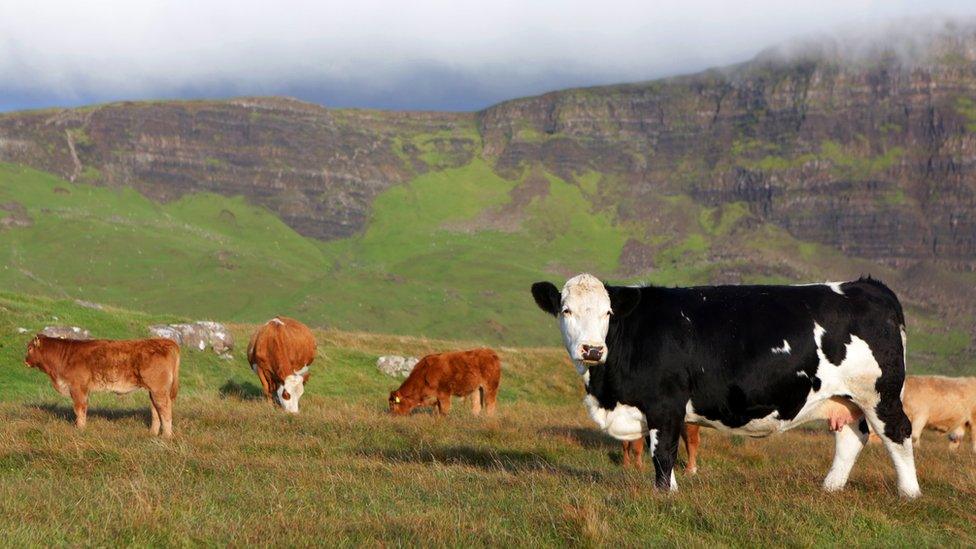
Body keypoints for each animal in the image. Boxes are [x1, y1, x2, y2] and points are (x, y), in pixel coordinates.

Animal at [24, 334, 180, 436]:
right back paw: (153, 433)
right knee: (155, 409)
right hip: (154, 390)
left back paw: (166, 436)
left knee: (165, 410)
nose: (25, 361)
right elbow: (83, 409)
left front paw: (80, 429)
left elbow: (79, 409)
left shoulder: (77, 388)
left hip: (159, 390)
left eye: (30, 348)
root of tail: (164, 341)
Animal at [532, 272, 924, 496]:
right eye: (566, 310)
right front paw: (672, 493)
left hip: (879, 394)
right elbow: (660, 453)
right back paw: (830, 489)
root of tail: (867, 285)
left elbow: (663, 453)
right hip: (845, 398)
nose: (592, 349)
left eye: (608, 312)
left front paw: (664, 498)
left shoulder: (666, 403)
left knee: (897, 433)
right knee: (851, 437)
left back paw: (909, 494)